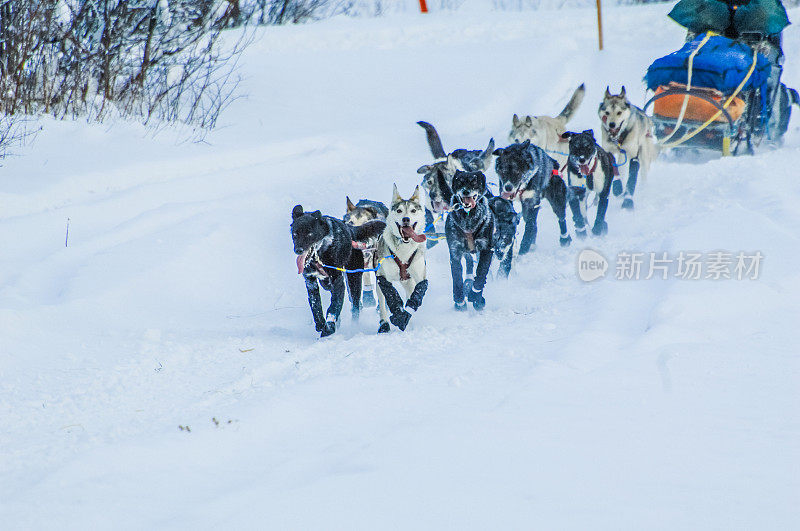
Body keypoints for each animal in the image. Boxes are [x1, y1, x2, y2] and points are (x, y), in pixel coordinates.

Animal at [376, 183, 432, 332]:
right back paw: (383, 323)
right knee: (382, 303)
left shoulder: (420, 277)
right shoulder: (383, 277)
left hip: (408, 282)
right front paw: (398, 314)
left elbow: (417, 294)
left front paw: (405, 314)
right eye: (399, 211)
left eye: (413, 211)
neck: (403, 251)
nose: (406, 219)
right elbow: (391, 294)